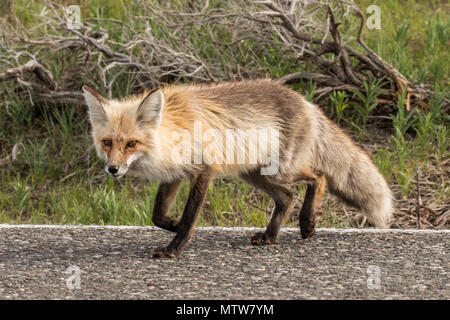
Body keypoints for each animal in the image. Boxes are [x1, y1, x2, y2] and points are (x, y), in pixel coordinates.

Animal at [82, 79, 392, 258]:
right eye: (108, 142)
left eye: (131, 143)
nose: (112, 169)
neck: (172, 133)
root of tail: (306, 101)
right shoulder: (174, 175)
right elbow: (158, 215)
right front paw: (174, 226)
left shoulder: (203, 170)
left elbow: (190, 214)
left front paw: (175, 248)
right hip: (254, 173)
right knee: (287, 197)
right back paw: (270, 237)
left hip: (281, 169)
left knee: (319, 177)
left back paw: (307, 223)